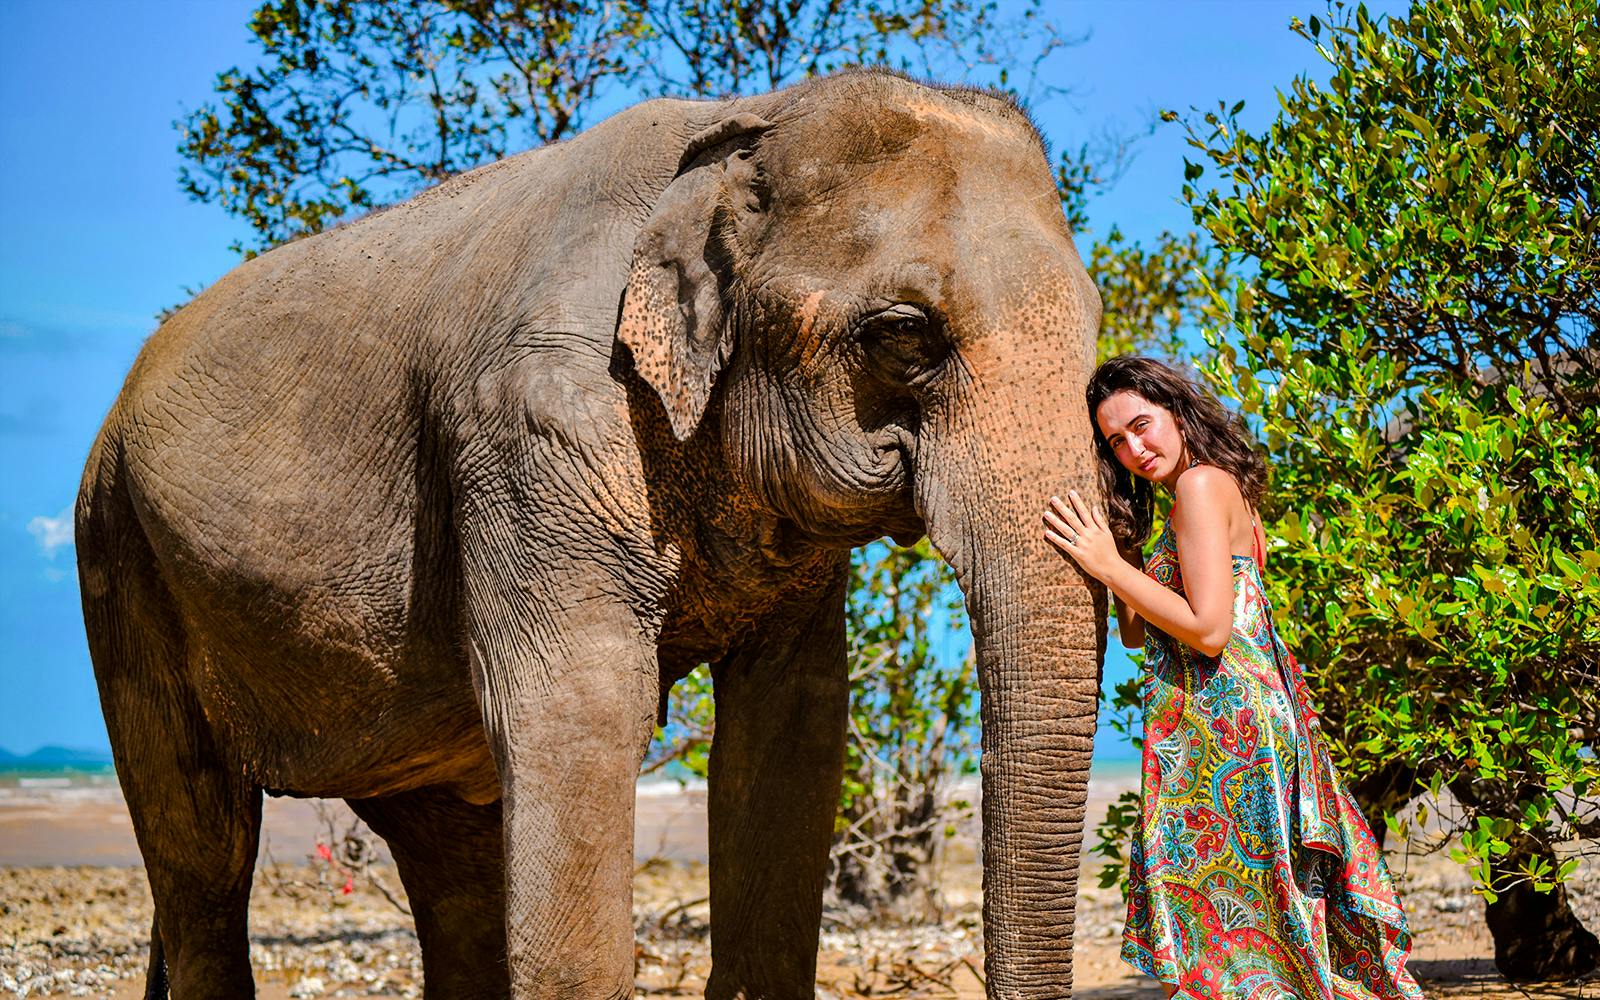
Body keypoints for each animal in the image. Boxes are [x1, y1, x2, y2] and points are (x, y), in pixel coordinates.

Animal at [75, 67, 1106, 998]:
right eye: (904, 335)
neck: (744, 120)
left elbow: (793, 727)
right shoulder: (534, 432)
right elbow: (583, 709)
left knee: (449, 866)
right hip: (119, 556)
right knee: (202, 848)